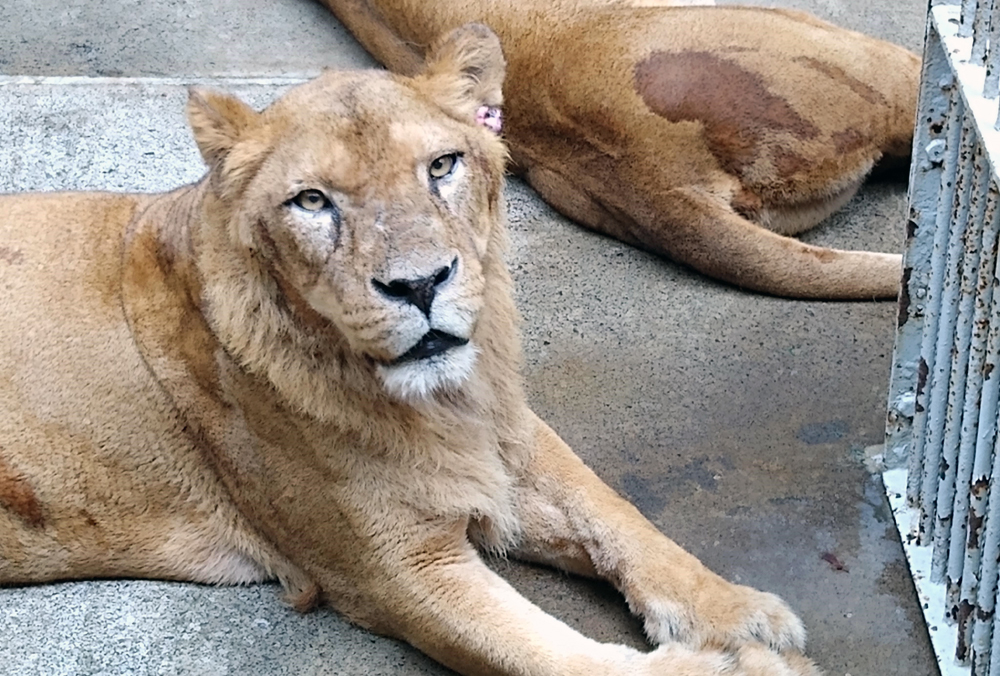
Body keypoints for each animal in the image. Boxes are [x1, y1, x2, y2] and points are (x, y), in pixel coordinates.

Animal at [0, 23, 820, 672]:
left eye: (441, 166)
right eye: (312, 201)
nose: (420, 284)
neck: (445, 401)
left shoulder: (504, 431)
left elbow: (612, 514)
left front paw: (739, 615)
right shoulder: (395, 573)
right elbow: (559, 659)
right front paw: (743, 667)